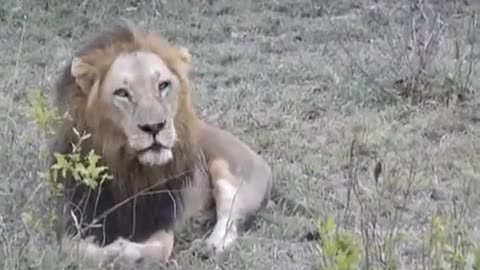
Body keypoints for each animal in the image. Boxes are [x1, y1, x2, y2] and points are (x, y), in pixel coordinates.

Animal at [51, 21, 274, 266]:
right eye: (122, 93)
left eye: (163, 85)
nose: (154, 126)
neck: (128, 171)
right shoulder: (75, 217)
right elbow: (74, 248)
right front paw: (112, 251)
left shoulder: (162, 219)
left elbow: (160, 248)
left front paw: (125, 251)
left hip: (232, 175)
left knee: (230, 219)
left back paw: (209, 246)